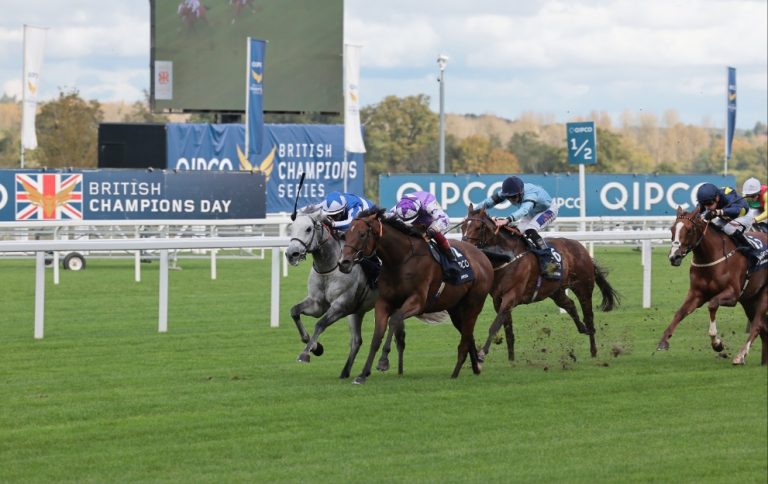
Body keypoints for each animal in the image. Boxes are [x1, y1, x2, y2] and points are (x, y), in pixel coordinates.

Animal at [340, 208, 496, 386]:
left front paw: (383, 361)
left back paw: (455, 373)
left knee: (465, 339)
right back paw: (476, 367)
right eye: (346, 234)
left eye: (362, 234)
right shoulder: (384, 302)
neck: (401, 260)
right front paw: (363, 374)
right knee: (468, 335)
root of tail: (482, 256)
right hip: (456, 310)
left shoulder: (417, 302)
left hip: (473, 305)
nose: (343, 262)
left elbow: (394, 320)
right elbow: (376, 337)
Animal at [460, 206, 620, 362]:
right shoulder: (497, 300)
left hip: (583, 287)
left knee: (589, 317)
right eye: (462, 226)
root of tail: (581, 248)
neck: (507, 258)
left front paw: (482, 353)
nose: (465, 247)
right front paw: (511, 360)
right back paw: (582, 328)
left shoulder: (511, 296)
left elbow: (495, 325)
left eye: (478, 227)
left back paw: (593, 350)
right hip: (556, 291)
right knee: (569, 305)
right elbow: (508, 330)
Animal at [656, 206, 764, 364]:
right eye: (671, 229)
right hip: (750, 299)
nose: (674, 257)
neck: (711, 257)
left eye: (689, 230)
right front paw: (664, 340)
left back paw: (740, 355)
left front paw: (717, 343)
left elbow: (712, 305)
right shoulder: (697, 294)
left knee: (757, 324)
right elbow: (680, 312)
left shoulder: (732, 294)